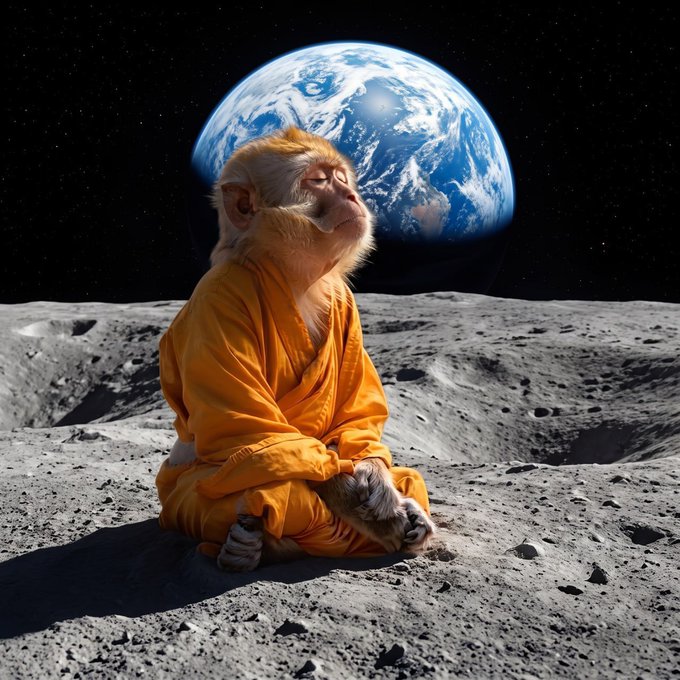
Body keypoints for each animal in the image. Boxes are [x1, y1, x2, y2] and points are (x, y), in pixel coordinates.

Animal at [158, 126, 435, 572]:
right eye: (317, 180)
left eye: (340, 177)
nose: (352, 196)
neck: (292, 275)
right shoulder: (219, 300)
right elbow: (262, 436)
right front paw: (368, 508)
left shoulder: (344, 302)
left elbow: (355, 417)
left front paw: (380, 485)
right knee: (258, 486)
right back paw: (254, 546)